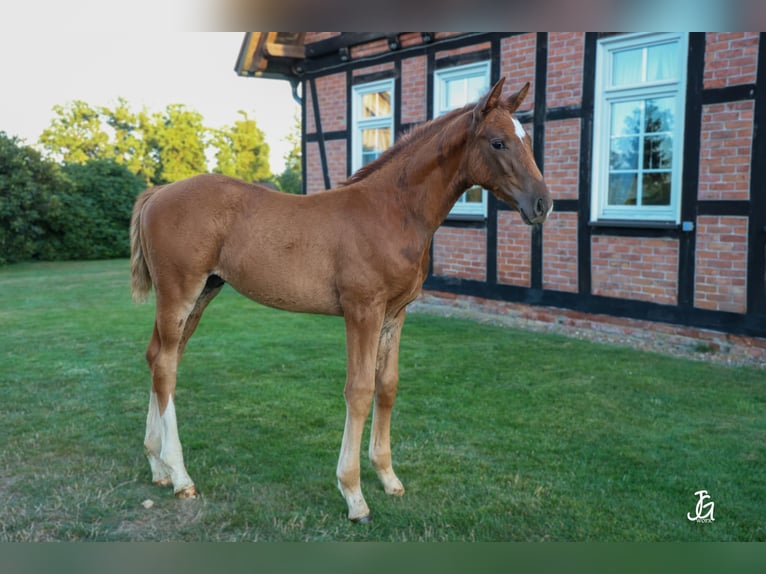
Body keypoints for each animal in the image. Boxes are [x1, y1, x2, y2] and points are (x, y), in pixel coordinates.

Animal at [130, 78, 552, 522]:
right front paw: (354, 494)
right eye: (499, 142)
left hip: (203, 293)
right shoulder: (362, 311)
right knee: (165, 366)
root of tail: (158, 192)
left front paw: (388, 476)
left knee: (160, 358)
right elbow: (360, 390)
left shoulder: (395, 314)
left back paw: (157, 464)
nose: (543, 203)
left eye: (526, 138)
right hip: (180, 293)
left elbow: (387, 385)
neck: (392, 210)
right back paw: (180, 475)